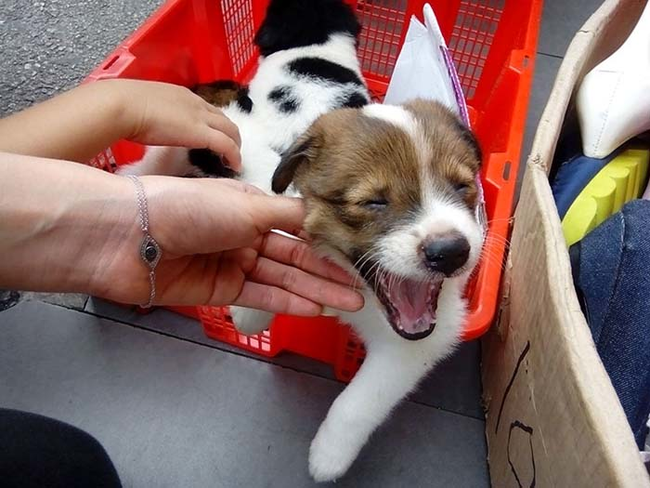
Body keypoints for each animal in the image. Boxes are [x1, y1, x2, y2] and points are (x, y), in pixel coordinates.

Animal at [235, 99, 484, 480]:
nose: (451, 252)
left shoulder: (418, 344)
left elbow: (355, 403)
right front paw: (247, 315)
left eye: (461, 186)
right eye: (373, 202)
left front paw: (327, 457)